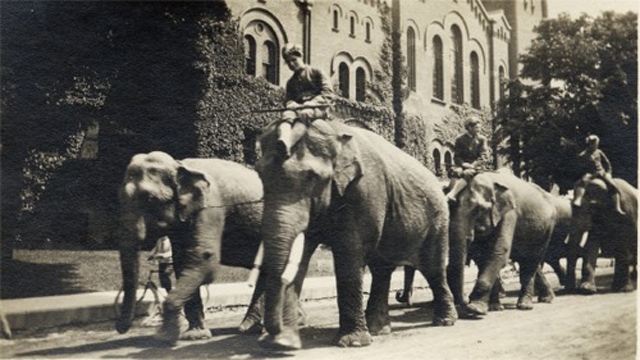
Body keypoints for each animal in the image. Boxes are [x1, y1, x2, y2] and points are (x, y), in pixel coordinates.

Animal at [114, 150, 266, 344]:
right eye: (119, 196)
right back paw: (250, 328)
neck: (179, 165)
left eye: (150, 199)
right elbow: (183, 262)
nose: (119, 329)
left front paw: (165, 336)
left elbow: (204, 259)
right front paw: (194, 335)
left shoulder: (211, 206)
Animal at [252, 119, 458, 350]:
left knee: (433, 267)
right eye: (260, 174)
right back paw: (379, 329)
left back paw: (444, 321)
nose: (274, 339)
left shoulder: (364, 191)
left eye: (311, 177)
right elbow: (301, 256)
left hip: (438, 219)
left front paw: (352, 343)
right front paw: (285, 342)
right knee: (381, 269)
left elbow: (349, 253)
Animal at [444, 170, 568, 316]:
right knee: (525, 259)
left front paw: (475, 309)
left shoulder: (509, 213)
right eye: (450, 206)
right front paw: (494, 307)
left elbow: (498, 251)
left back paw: (526, 305)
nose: (464, 301)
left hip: (547, 227)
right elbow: (483, 257)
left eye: (480, 209)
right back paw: (547, 298)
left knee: (531, 260)